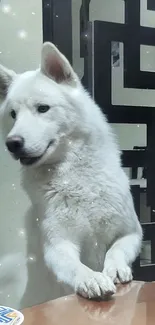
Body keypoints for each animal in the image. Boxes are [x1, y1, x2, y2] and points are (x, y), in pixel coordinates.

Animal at [0, 42, 142, 298]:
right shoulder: (57, 246)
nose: (12, 143)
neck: (76, 178)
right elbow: (76, 266)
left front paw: (115, 269)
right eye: (13, 114)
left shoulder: (132, 232)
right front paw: (91, 279)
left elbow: (115, 250)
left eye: (43, 108)